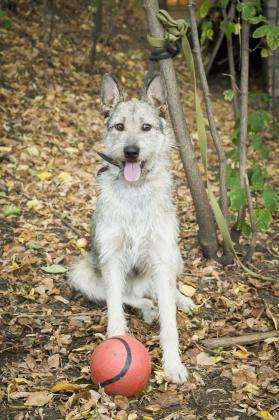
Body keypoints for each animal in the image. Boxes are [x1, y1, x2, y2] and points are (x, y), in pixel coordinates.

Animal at [68, 73, 196, 384]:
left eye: (146, 127)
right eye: (119, 127)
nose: (131, 152)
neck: (135, 190)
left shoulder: (161, 257)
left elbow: (170, 324)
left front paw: (172, 364)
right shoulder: (111, 258)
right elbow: (115, 307)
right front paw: (115, 342)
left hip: (174, 255)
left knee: (164, 291)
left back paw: (180, 300)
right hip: (81, 272)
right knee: (133, 297)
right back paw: (148, 307)